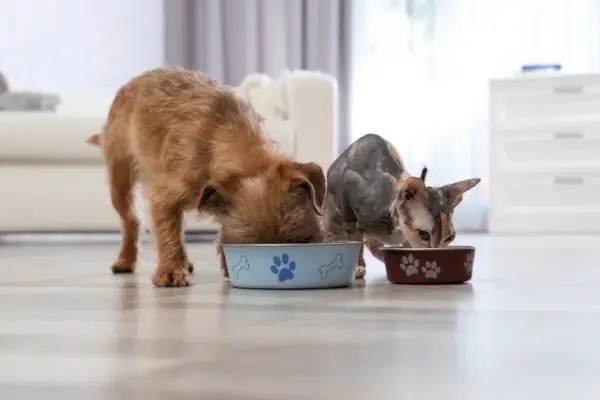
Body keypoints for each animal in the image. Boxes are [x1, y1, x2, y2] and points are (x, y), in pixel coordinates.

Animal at [86, 68, 326, 288]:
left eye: (303, 241)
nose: (282, 259)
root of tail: (131, 83)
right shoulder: (164, 197)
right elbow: (167, 234)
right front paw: (170, 270)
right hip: (120, 182)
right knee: (131, 220)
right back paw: (126, 260)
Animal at [322, 134, 480, 278]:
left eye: (450, 237)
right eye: (423, 234)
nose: (436, 252)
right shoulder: (349, 189)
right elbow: (356, 241)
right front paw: (358, 266)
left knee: (373, 244)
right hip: (332, 216)